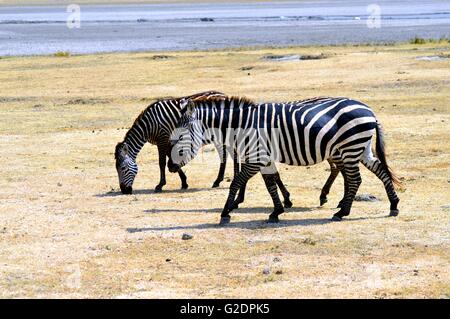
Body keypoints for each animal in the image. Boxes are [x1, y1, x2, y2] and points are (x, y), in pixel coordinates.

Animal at [168, 96, 400, 224]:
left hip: (351, 147)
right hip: (360, 148)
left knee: (355, 179)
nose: (170, 167)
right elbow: (270, 184)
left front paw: (226, 212)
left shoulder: (257, 157)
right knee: (380, 171)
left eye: (180, 137)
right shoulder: (264, 158)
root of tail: (369, 110)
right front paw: (277, 210)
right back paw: (393, 205)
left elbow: (237, 182)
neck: (242, 126)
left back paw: (342, 211)